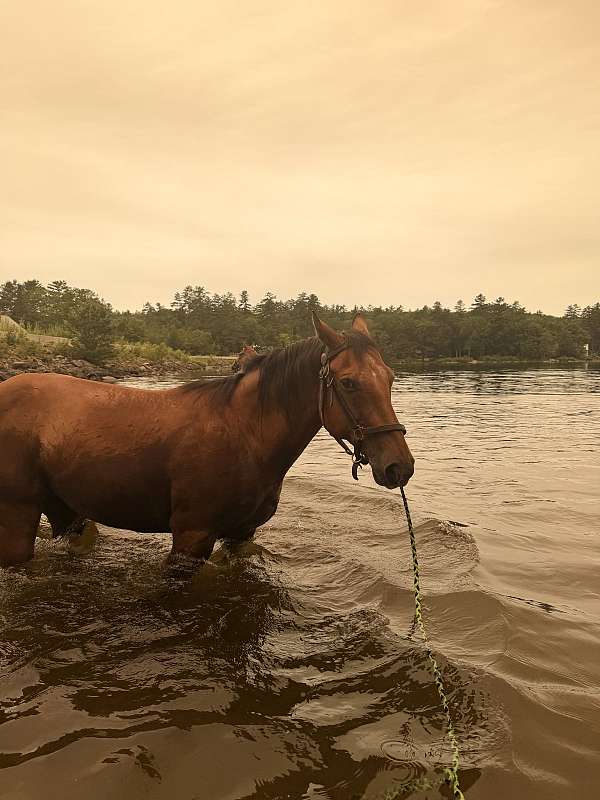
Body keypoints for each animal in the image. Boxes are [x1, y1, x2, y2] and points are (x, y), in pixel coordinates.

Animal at [0, 313, 414, 567]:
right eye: (348, 383)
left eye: (390, 377)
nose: (400, 466)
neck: (245, 433)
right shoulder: (191, 538)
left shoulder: (241, 535)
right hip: (18, 515)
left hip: (66, 509)